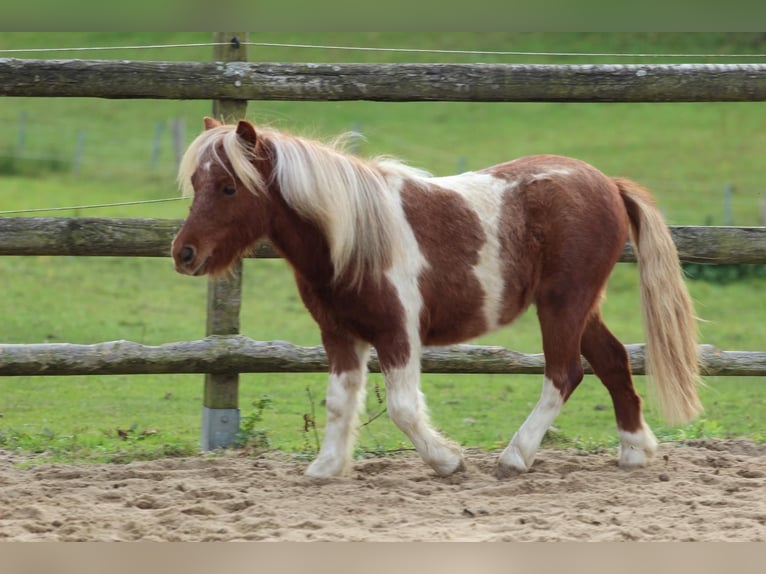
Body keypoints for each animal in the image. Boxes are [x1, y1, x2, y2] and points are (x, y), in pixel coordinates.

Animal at [172, 117, 704, 482]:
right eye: (196, 183)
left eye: (229, 186)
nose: (184, 253)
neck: (352, 237)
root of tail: (609, 183)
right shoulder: (340, 335)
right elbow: (340, 402)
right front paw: (326, 467)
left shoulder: (397, 333)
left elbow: (404, 408)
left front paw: (448, 461)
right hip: (579, 306)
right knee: (612, 361)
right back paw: (634, 451)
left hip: (562, 304)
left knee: (564, 373)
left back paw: (515, 458)